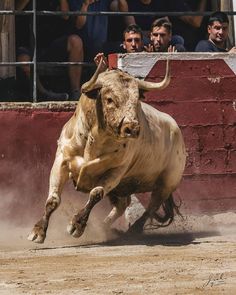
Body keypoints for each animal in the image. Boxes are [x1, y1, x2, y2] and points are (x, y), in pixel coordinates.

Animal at [27, 59, 186, 244]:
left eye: (137, 99)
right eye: (109, 99)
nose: (132, 128)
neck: (94, 141)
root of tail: (176, 129)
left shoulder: (116, 171)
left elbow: (96, 193)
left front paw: (77, 225)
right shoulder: (61, 161)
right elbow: (53, 200)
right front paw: (38, 231)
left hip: (167, 182)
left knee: (151, 206)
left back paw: (132, 231)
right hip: (124, 187)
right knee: (122, 205)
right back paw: (105, 228)